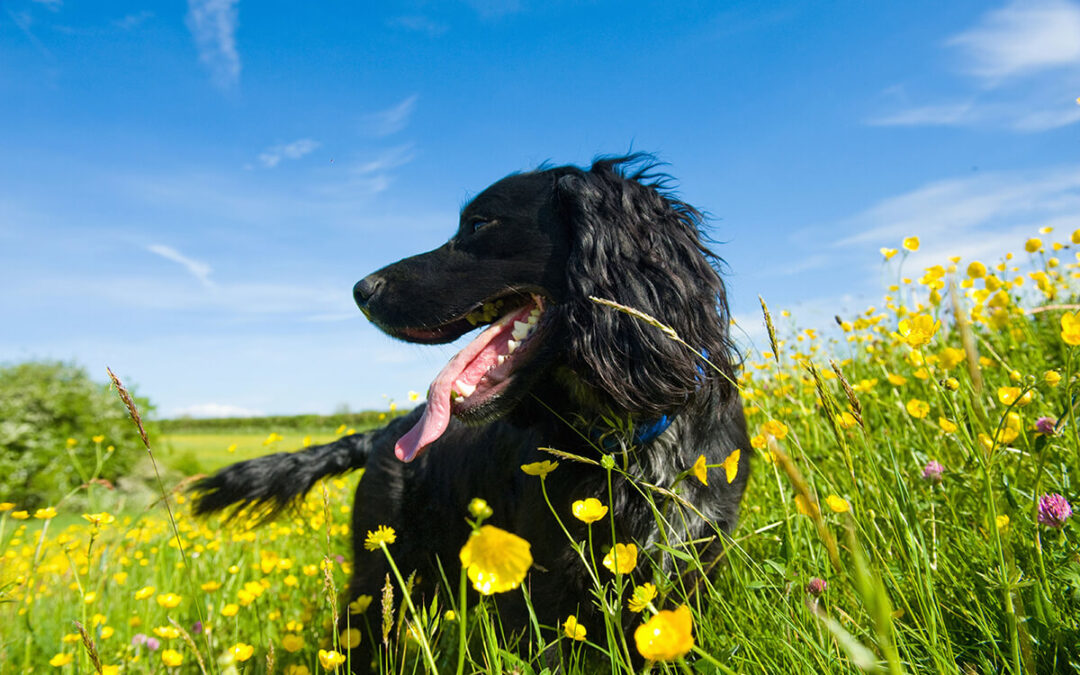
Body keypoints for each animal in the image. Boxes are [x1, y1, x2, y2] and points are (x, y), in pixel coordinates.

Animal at [192, 154, 751, 669]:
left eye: (480, 224)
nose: (360, 291)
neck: (635, 435)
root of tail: (384, 432)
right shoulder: (544, 590)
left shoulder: (692, 566)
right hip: (380, 577)